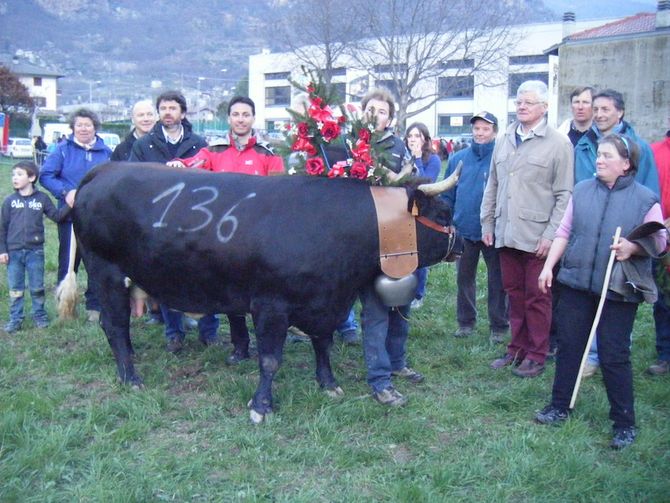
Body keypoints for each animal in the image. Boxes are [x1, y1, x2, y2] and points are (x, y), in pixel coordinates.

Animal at [65, 161, 460, 422]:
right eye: (443, 212)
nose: (464, 244)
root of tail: (106, 169)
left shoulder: (324, 302)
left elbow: (323, 343)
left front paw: (328, 383)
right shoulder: (271, 305)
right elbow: (270, 359)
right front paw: (261, 406)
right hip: (105, 272)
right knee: (115, 324)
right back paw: (130, 377)